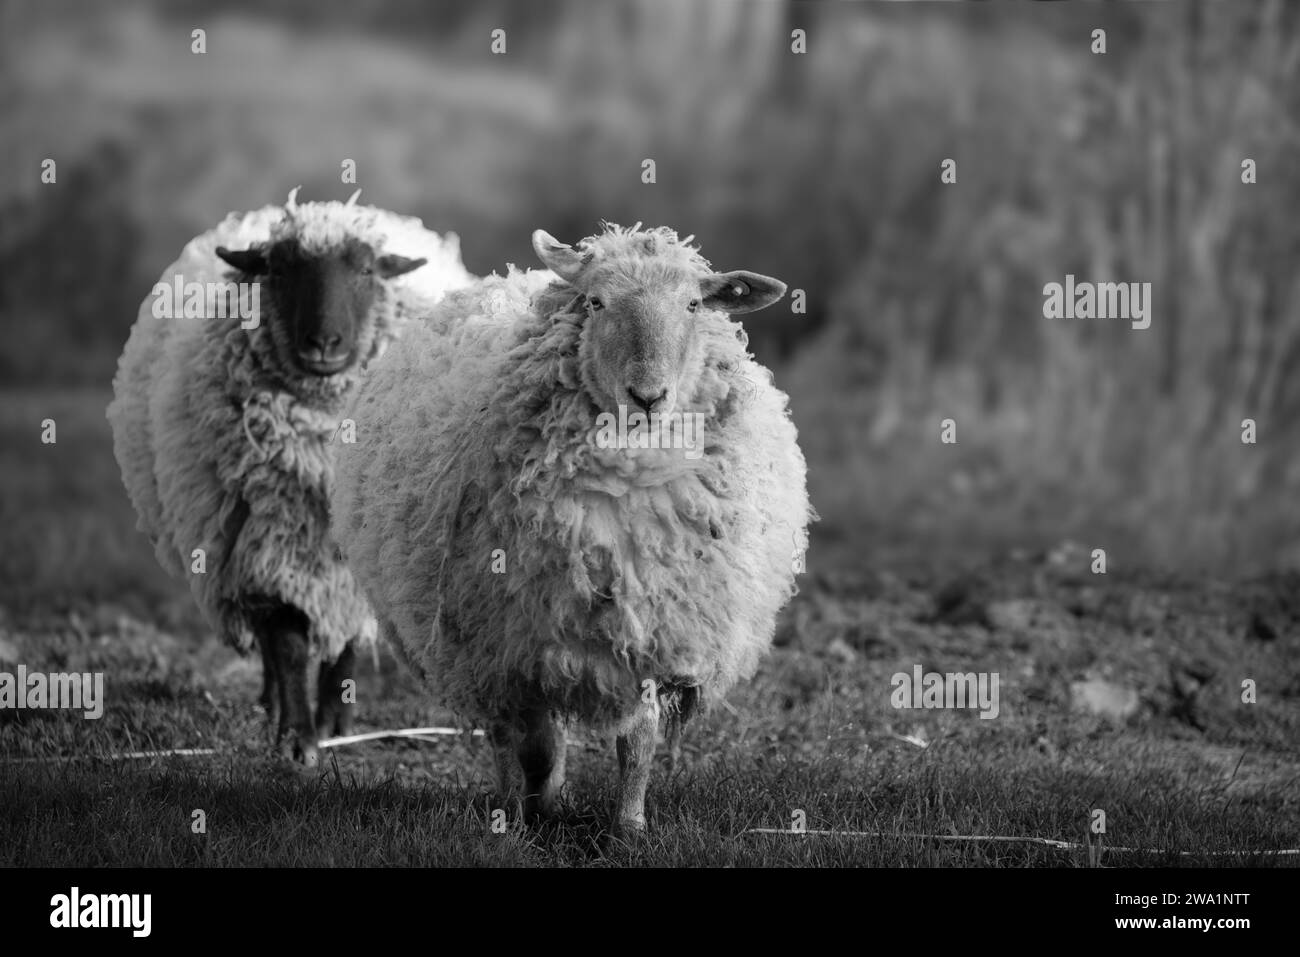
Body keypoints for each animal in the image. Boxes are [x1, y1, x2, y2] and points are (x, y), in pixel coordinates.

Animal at [106, 191, 473, 764]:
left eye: (366, 269)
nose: (323, 342)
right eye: (278, 270)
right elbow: (288, 641)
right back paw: (273, 706)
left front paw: (335, 722)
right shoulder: (267, 537)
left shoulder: (351, 552)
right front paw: (298, 739)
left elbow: (345, 641)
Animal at [330, 222, 806, 832]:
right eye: (597, 301)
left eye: (694, 305)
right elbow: (535, 745)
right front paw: (533, 818)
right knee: (508, 736)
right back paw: (515, 804)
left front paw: (629, 829)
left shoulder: (651, 628)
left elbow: (638, 742)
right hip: (480, 641)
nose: (648, 397)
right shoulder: (516, 638)